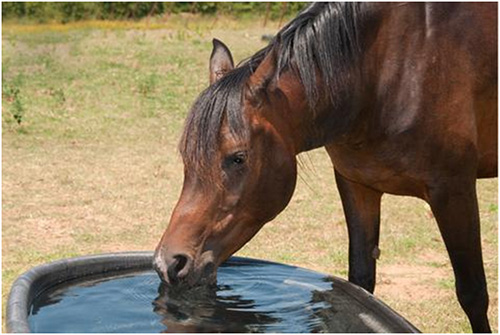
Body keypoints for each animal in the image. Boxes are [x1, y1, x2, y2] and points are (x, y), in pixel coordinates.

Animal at [154, 3, 498, 334]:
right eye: (186, 156)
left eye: (237, 157)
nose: (168, 264)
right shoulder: (356, 184)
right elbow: (360, 284)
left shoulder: (453, 190)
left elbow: (472, 293)